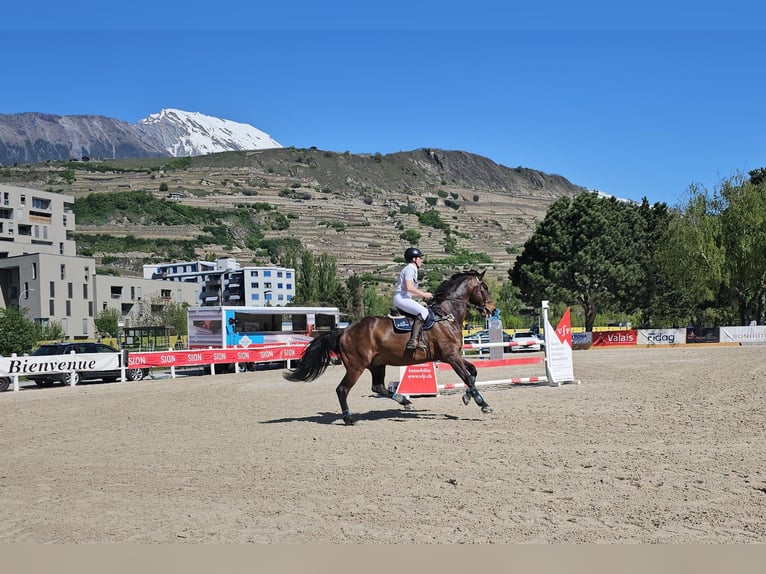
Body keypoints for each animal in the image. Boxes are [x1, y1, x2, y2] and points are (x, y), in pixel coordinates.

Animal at [284, 268, 496, 426]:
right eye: (484, 287)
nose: (492, 309)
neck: (446, 315)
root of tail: (344, 331)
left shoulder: (454, 355)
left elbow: (473, 371)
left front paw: (467, 397)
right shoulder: (450, 356)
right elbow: (467, 377)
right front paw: (483, 404)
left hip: (377, 364)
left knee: (378, 386)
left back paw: (406, 402)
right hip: (356, 366)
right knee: (342, 389)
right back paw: (349, 418)